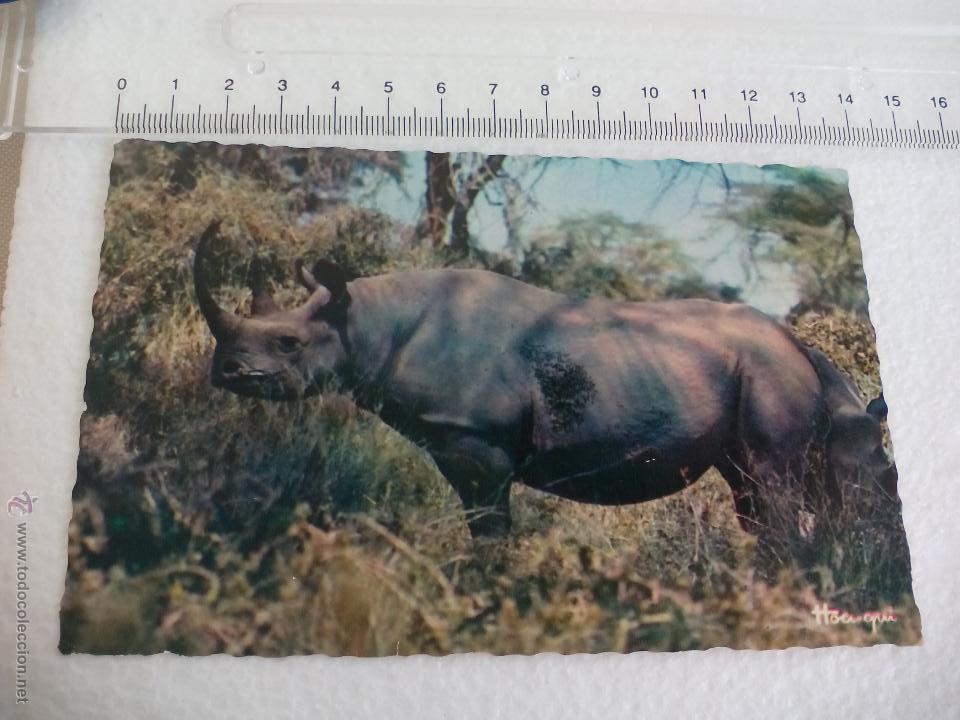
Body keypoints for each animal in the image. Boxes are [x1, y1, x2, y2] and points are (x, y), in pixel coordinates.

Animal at [193, 221, 895, 538]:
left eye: (287, 343)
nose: (226, 371)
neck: (367, 322)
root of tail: (794, 342)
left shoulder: (475, 442)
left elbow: (489, 532)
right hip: (752, 373)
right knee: (754, 491)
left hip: (769, 374)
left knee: (774, 489)